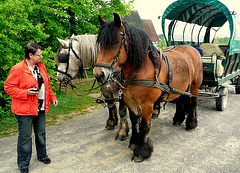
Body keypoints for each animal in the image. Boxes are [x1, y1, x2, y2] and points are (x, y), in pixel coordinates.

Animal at [93, 12, 202, 162]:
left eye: (115, 42)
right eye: (100, 44)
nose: (99, 74)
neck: (141, 69)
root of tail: (192, 48)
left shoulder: (147, 104)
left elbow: (145, 126)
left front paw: (142, 151)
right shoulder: (129, 101)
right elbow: (134, 121)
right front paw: (134, 141)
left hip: (195, 86)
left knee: (193, 103)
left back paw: (191, 123)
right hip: (181, 87)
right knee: (181, 100)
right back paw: (178, 119)